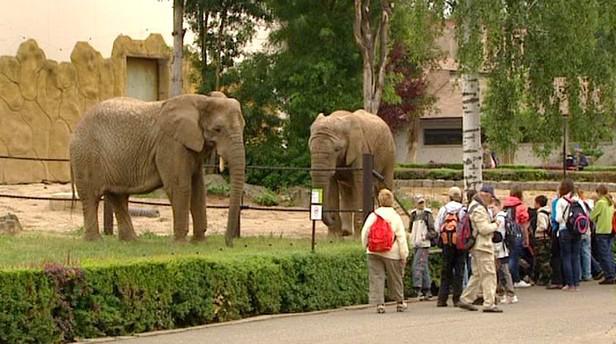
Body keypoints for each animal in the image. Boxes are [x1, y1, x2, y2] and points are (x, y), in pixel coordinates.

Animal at [70, 92, 245, 243]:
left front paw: (199, 242)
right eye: (218, 129)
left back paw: (132, 242)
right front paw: (180, 243)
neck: (202, 100)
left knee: (117, 196)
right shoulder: (170, 144)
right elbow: (180, 186)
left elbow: (198, 190)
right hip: (86, 154)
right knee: (91, 196)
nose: (228, 244)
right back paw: (95, 241)